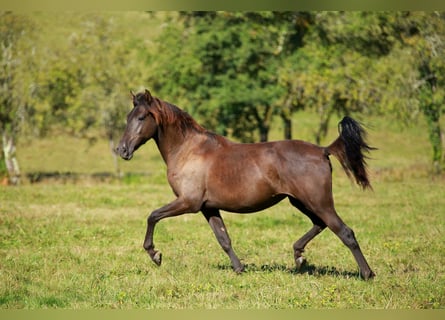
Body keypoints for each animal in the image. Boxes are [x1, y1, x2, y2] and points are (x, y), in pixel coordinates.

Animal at [117, 89, 374, 280]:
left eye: (141, 117)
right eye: (127, 118)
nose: (122, 150)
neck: (189, 150)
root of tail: (322, 150)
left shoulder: (188, 202)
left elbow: (152, 215)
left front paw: (155, 255)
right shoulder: (208, 207)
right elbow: (223, 239)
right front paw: (239, 268)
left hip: (318, 202)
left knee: (345, 232)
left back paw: (367, 273)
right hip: (300, 202)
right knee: (320, 224)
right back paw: (299, 256)